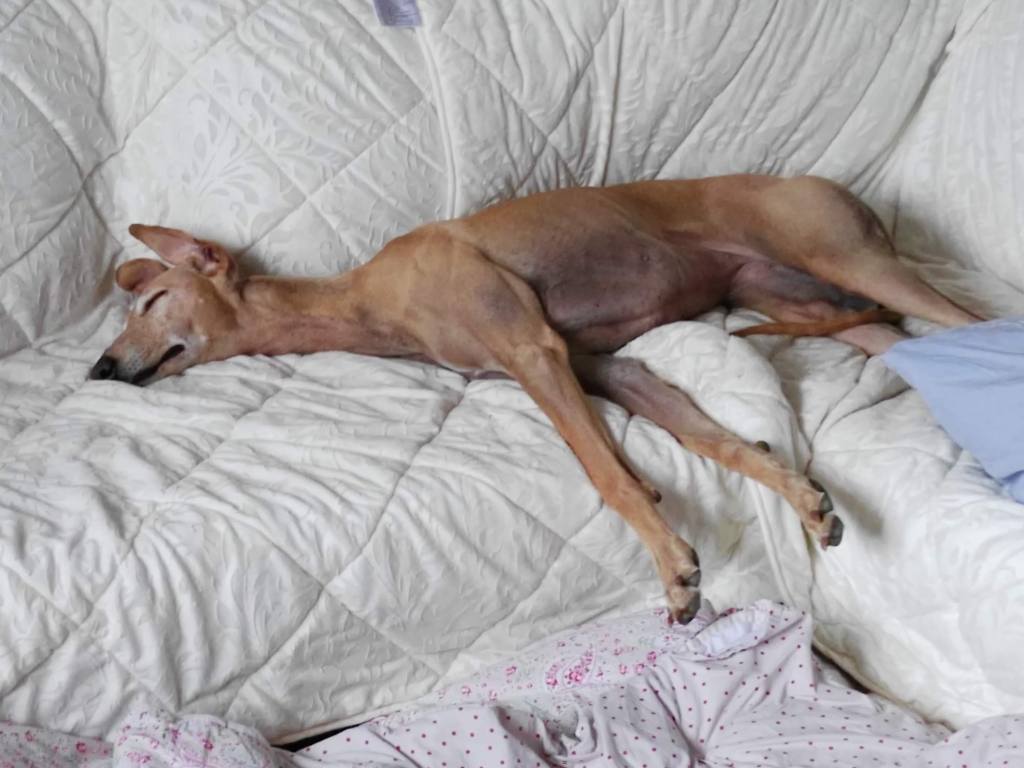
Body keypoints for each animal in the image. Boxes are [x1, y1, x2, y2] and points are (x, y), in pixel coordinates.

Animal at [89, 174, 979, 624]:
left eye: (154, 300)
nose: (100, 369)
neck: (370, 298)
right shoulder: (602, 368)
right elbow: (710, 440)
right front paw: (800, 497)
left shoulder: (532, 350)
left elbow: (608, 476)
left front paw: (675, 569)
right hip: (806, 298)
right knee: (910, 339)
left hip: (850, 260)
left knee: (974, 321)